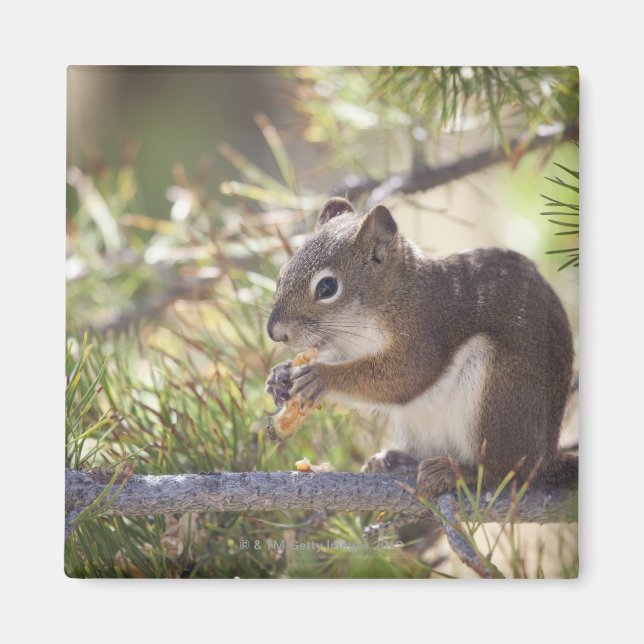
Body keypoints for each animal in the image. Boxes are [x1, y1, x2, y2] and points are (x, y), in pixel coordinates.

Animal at [265, 197, 578, 499]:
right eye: (282, 273)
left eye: (327, 287)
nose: (275, 333)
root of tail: (546, 459)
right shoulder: (348, 346)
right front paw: (279, 376)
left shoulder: (424, 331)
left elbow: (406, 377)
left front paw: (321, 377)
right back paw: (397, 460)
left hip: (500, 395)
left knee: (507, 474)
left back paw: (458, 473)